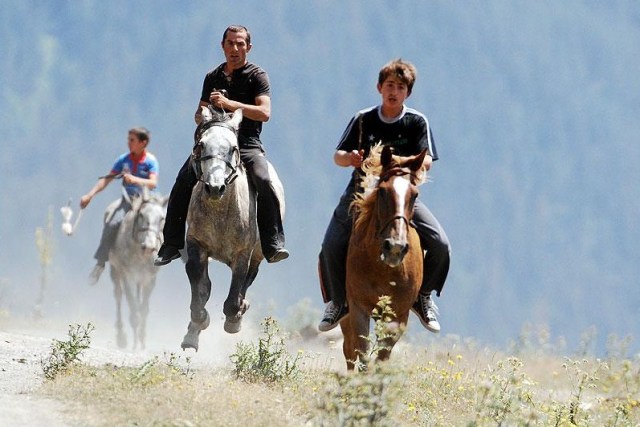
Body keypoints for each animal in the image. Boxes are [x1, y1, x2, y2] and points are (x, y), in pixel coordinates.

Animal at [107, 189, 167, 350]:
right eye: (141, 215)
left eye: (162, 218)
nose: (149, 247)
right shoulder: (126, 275)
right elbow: (133, 307)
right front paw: (133, 345)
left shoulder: (150, 279)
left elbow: (144, 309)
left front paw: (142, 341)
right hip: (115, 270)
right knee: (118, 295)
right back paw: (121, 337)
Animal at [180, 106, 285, 351]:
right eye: (201, 145)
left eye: (233, 148)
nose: (214, 187)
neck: (220, 213)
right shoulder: (196, 244)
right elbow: (199, 285)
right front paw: (198, 322)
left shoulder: (242, 253)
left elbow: (236, 289)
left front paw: (233, 319)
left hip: (258, 254)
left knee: (248, 279)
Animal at [340, 144, 428, 370]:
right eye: (382, 191)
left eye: (415, 195)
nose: (395, 247)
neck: (383, 269)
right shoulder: (358, 307)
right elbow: (361, 352)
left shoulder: (398, 314)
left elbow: (382, 356)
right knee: (348, 349)